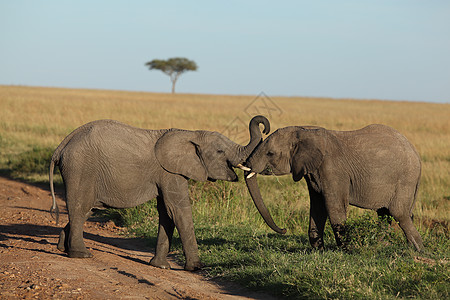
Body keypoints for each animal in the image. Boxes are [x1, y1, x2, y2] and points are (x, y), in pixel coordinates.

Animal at [49, 115, 268, 270]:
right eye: (220, 152)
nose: (264, 125)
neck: (190, 134)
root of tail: (61, 146)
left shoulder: (169, 174)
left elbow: (166, 213)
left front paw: (160, 266)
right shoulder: (170, 172)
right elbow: (177, 210)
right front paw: (196, 268)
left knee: (87, 209)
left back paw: (62, 248)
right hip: (80, 168)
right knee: (81, 207)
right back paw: (81, 254)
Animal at [243, 123, 422, 251]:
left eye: (270, 153)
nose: (284, 230)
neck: (304, 131)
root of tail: (416, 153)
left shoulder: (333, 169)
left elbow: (333, 206)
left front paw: (347, 250)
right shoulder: (313, 172)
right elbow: (318, 206)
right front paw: (319, 250)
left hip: (405, 179)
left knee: (399, 214)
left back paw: (418, 250)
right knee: (385, 214)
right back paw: (380, 246)